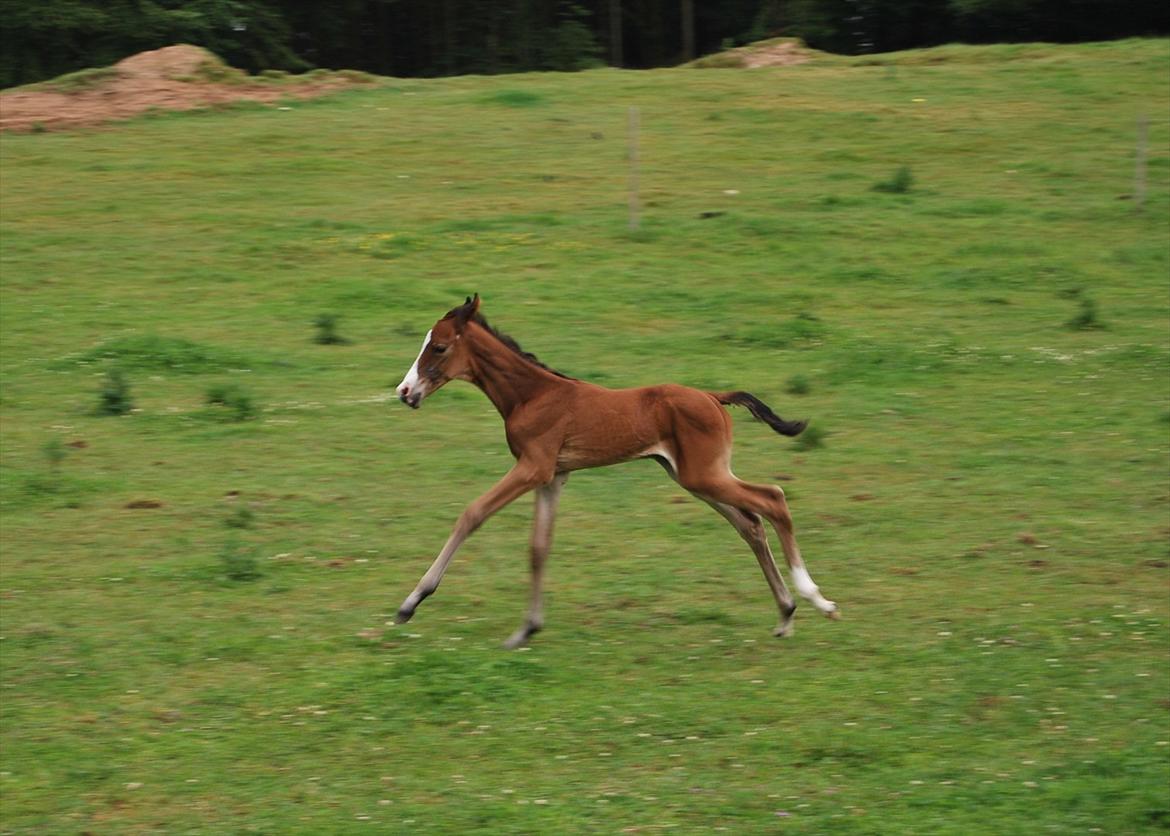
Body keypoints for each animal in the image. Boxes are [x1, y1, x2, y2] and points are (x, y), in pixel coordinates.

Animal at [397, 298, 837, 650]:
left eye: (438, 346)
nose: (404, 392)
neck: (531, 395)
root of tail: (714, 397)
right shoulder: (553, 477)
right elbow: (539, 548)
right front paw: (526, 630)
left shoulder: (533, 467)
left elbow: (472, 513)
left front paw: (411, 602)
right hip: (693, 477)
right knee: (750, 524)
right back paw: (786, 614)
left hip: (704, 476)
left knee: (773, 499)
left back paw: (817, 600)